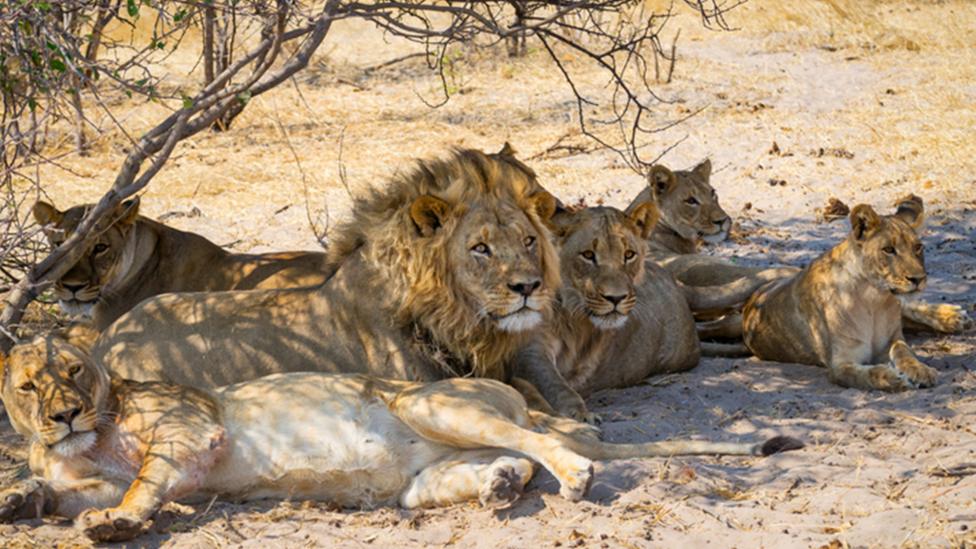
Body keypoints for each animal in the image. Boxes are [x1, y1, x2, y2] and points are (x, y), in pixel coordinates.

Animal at [0, 331, 801, 542]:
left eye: (74, 371)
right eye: (29, 385)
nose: (63, 415)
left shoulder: (192, 427)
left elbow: (141, 482)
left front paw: (116, 523)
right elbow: (52, 491)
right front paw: (20, 500)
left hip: (428, 400)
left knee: (554, 444)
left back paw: (575, 477)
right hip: (422, 480)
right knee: (505, 461)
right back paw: (500, 485)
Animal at [742, 196, 939, 391]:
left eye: (918, 247)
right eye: (889, 249)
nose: (918, 279)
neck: (874, 299)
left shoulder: (893, 339)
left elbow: (904, 352)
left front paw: (920, 370)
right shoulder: (839, 365)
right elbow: (868, 375)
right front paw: (893, 377)